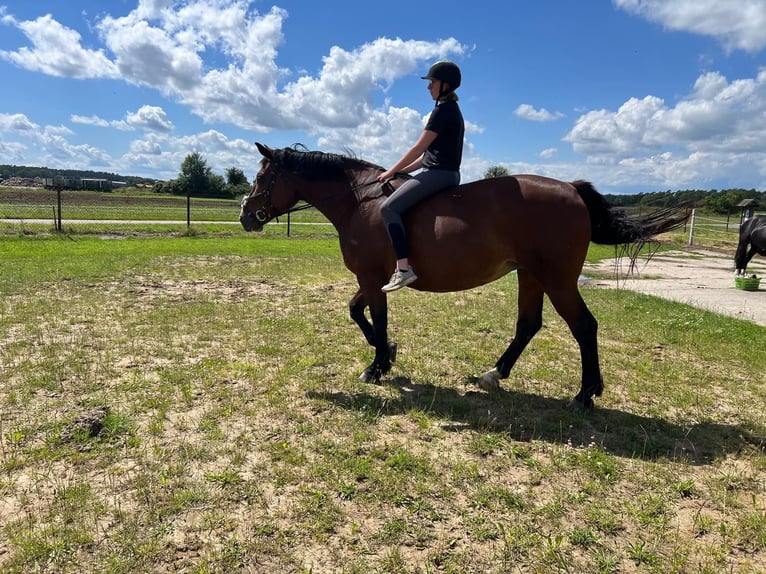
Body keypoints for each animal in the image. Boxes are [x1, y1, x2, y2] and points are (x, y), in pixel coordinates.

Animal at [240, 144, 688, 414]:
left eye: (262, 178)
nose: (246, 215)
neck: (359, 202)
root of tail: (573, 189)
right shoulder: (374, 278)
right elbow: (356, 311)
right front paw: (389, 355)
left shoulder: (370, 276)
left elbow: (375, 319)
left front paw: (377, 365)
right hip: (531, 275)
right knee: (529, 324)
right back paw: (495, 374)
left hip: (558, 280)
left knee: (583, 327)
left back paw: (584, 395)